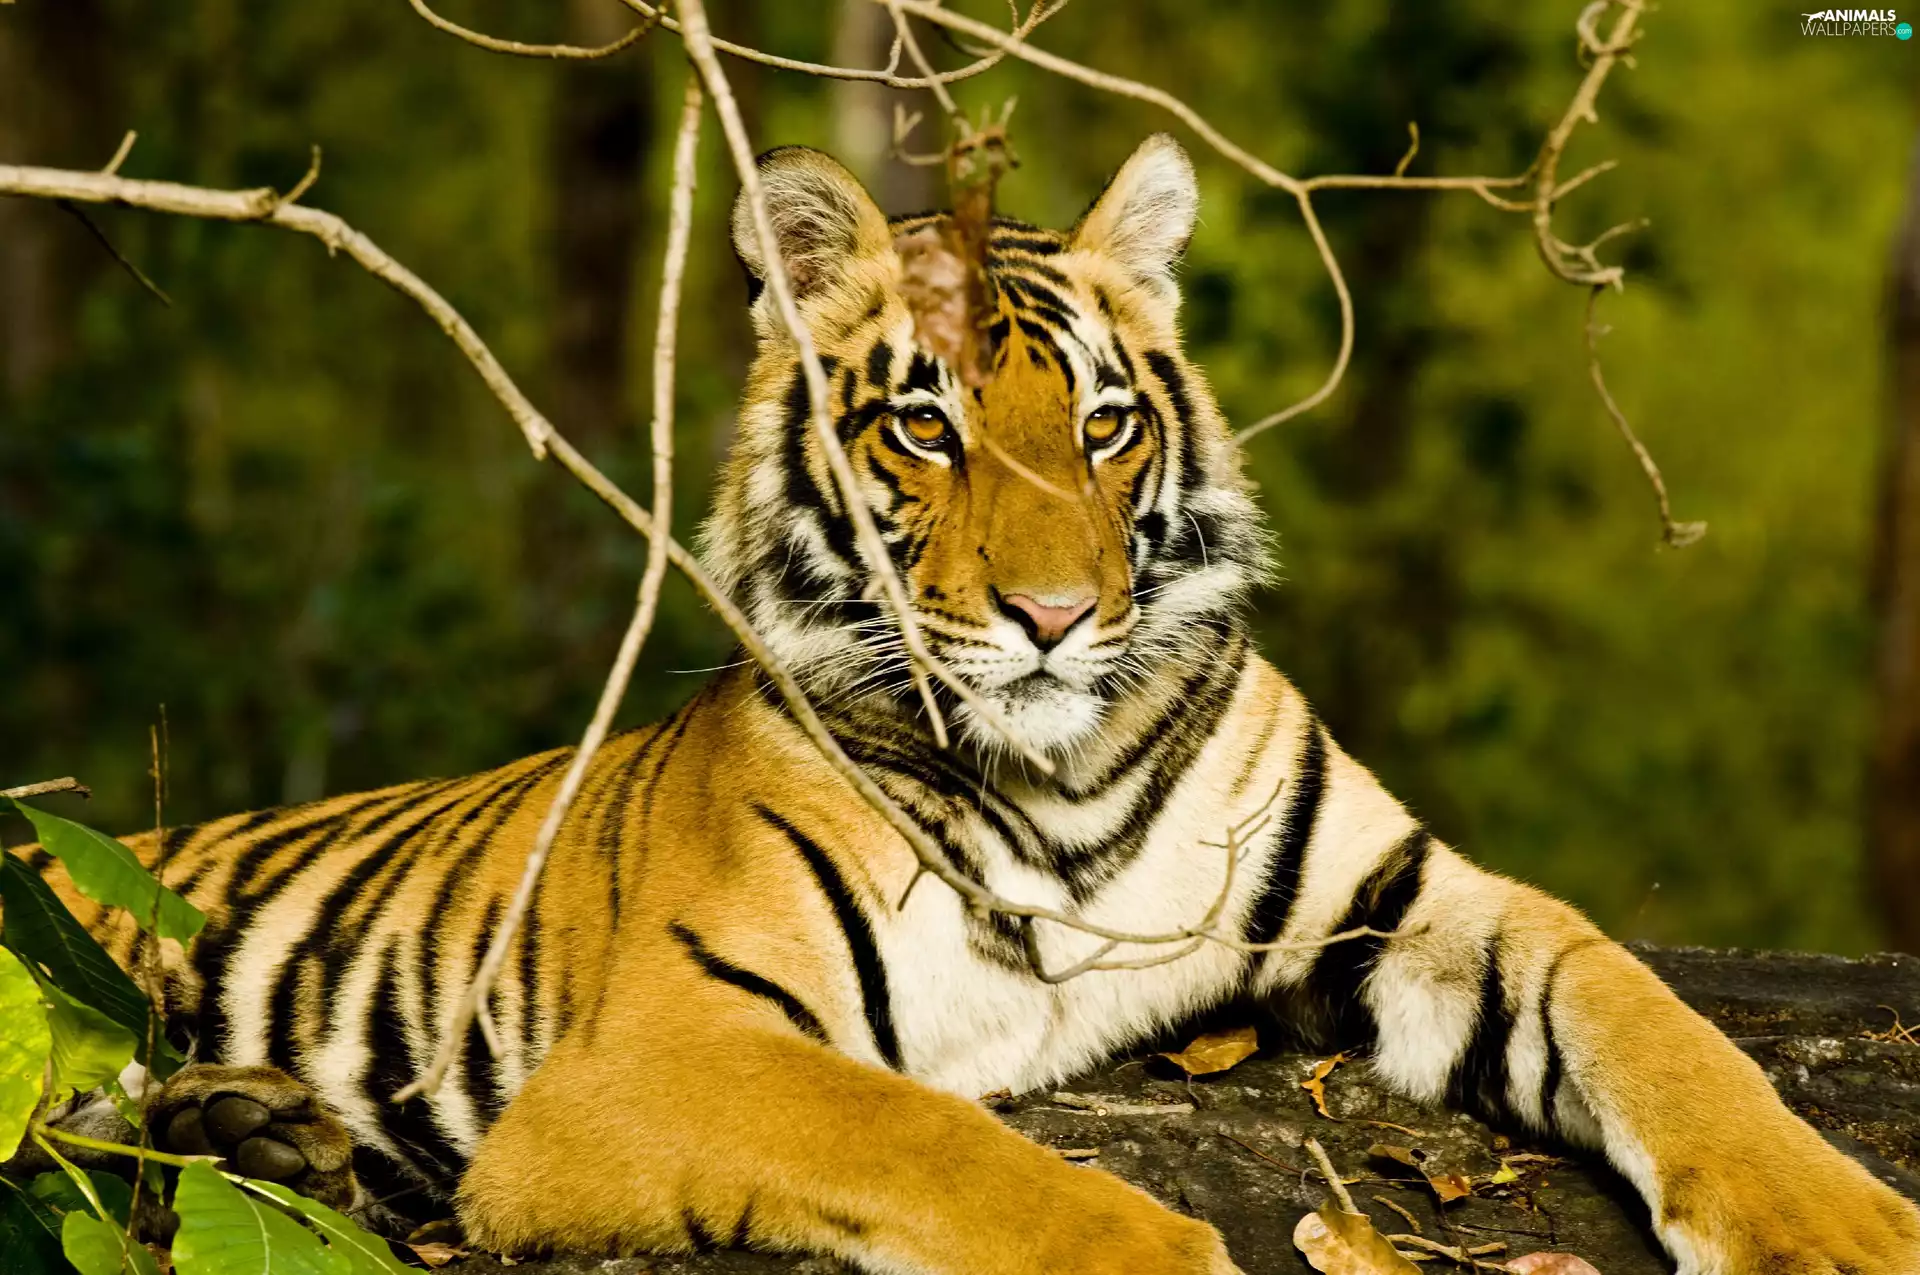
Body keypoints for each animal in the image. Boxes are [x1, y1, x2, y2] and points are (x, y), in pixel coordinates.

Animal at [14, 134, 1920, 1275]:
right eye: (923, 425)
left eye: (1103, 423)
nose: (1057, 617)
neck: (1063, 774)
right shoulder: (670, 1042)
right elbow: (946, 1146)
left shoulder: (1419, 893)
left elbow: (1664, 1030)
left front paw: (1836, 1224)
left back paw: (262, 1128)